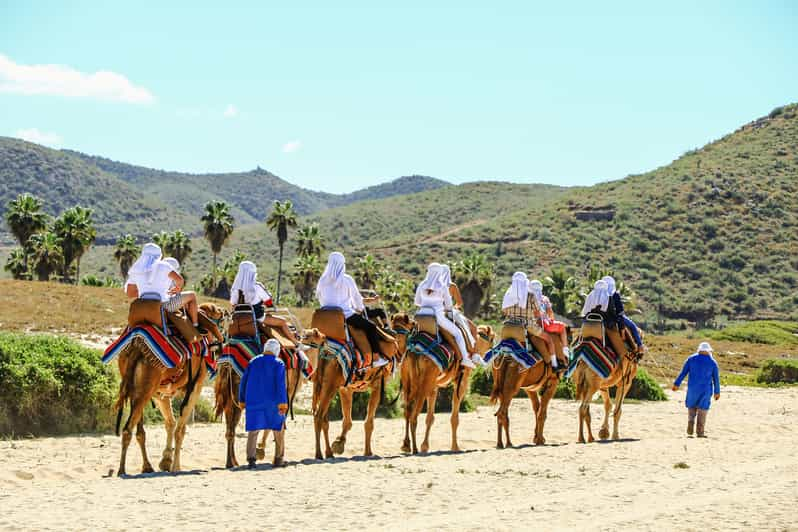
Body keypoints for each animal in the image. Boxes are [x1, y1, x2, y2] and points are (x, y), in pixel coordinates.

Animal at [114, 302, 225, 476]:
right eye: (218, 313)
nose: (226, 311)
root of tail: (136, 349)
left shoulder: (161, 393)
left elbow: (170, 423)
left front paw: (166, 461)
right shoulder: (196, 386)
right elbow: (180, 428)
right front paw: (175, 467)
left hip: (136, 386)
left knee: (139, 431)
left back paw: (146, 466)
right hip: (146, 386)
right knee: (128, 428)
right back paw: (122, 470)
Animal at [302, 314, 400, 460]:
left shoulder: (345, 389)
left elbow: (347, 421)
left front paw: (338, 444)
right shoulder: (377, 385)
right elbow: (368, 422)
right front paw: (368, 452)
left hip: (320, 384)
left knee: (322, 418)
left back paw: (328, 453)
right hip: (330, 386)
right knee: (319, 416)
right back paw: (318, 454)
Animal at [392, 314, 496, 456]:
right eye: (492, 338)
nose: (494, 349)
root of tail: (413, 350)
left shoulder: (434, 385)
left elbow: (430, 417)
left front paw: (425, 446)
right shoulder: (461, 381)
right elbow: (454, 417)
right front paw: (455, 447)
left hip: (408, 379)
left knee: (407, 411)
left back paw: (406, 445)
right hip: (423, 383)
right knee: (414, 414)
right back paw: (414, 448)